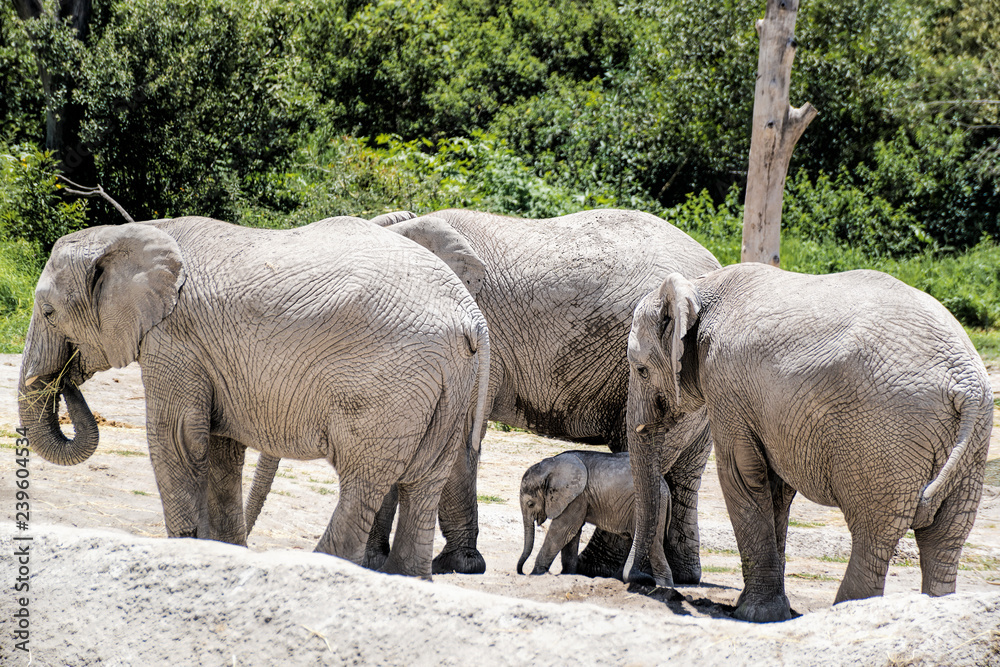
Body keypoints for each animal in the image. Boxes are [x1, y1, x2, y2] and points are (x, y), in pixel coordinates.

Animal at [17, 216, 490, 578]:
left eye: (49, 313)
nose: (67, 380)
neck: (130, 234)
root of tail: (470, 316)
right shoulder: (211, 357)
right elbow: (221, 449)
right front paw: (225, 554)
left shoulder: (174, 341)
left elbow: (177, 440)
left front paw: (186, 550)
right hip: (451, 383)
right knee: (424, 481)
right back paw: (407, 580)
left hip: (392, 386)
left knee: (364, 479)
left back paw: (321, 567)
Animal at [517, 450, 669, 579]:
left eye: (530, 504)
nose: (522, 572)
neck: (550, 465)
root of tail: (664, 484)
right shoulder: (577, 498)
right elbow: (571, 534)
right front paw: (567, 574)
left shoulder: (577, 497)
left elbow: (562, 532)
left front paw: (535, 574)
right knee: (631, 541)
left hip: (655, 507)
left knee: (654, 546)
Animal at [626, 263, 994, 622]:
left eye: (641, 370)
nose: (642, 581)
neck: (701, 286)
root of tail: (965, 382)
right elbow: (776, 487)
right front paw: (775, 610)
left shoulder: (725, 382)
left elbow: (742, 475)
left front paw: (755, 614)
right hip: (972, 443)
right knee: (946, 536)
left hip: (887, 436)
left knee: (874, 532)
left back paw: (846, 612)